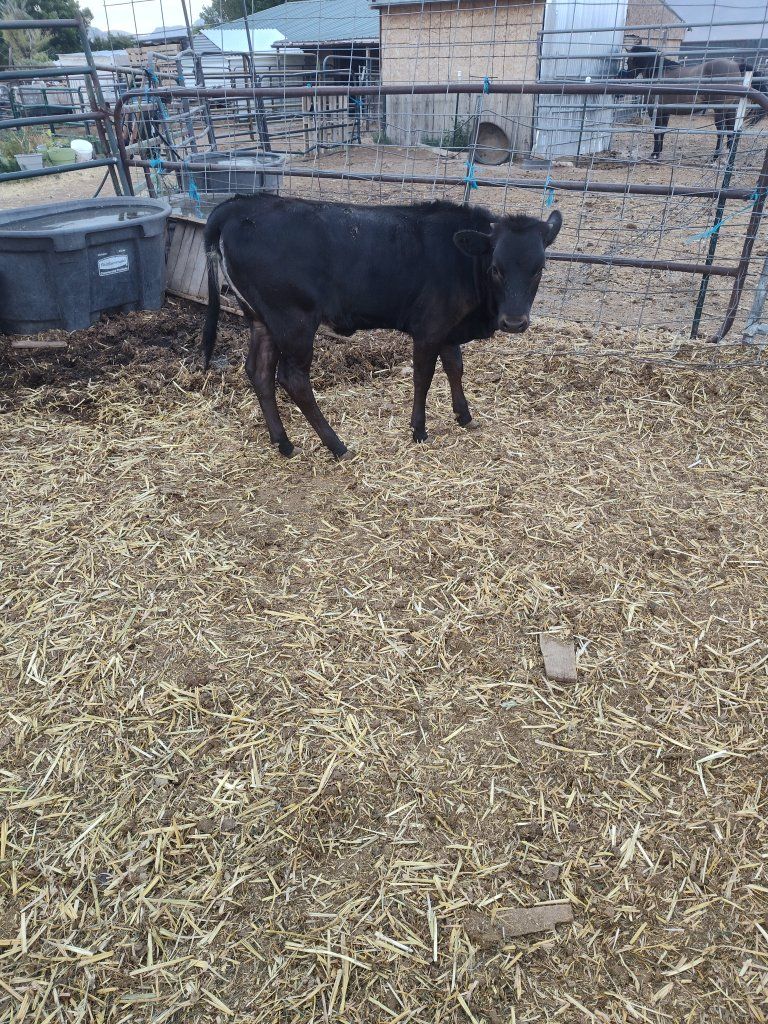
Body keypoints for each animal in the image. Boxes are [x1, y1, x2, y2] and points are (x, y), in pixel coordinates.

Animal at [203, 195, 562, 458]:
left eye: (539, 268)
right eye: (496, 268)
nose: (514, 322)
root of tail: (242, 204)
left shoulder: (449, 327)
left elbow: (455, 368)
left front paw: (464, 416)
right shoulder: (429, 328)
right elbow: (423, 378)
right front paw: (419, 429)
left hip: (261, 319)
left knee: (259, 371)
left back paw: (284, 444)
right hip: (294, 319)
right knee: (293, 380)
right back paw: (337, 446)